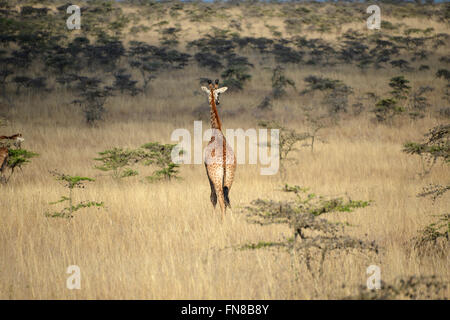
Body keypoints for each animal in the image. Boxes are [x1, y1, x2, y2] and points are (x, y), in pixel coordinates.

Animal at [200, 79, 236, 220]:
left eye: (219, 94)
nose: (218, 102)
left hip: (217, 176)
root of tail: (225, 161)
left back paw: (222, 220)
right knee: (227, 198)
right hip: (230, 177)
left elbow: (212, 197)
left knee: (220, 198)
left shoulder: (207, 170)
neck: (217, 131)